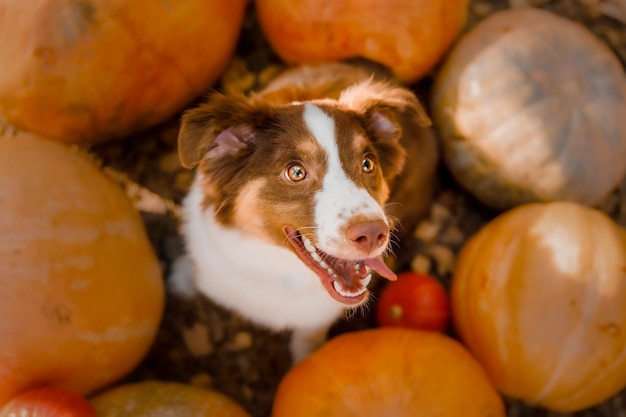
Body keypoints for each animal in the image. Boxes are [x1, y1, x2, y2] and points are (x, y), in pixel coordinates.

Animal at [168, 61, 436, 360]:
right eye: (296, 172)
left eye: (368, 164)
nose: (373, 234)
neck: (275, 267)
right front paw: (185, 274)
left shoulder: (316, 318)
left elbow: (306, 340)